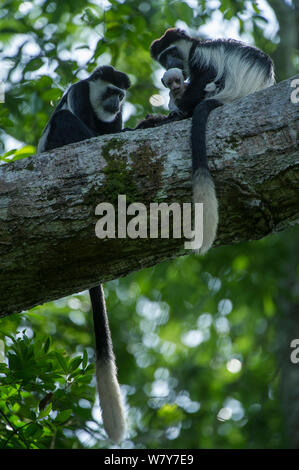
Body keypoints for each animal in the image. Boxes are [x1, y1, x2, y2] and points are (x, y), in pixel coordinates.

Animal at [151, 28, 276, 253]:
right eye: (164, 58)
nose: (171, 62)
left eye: (172, 51)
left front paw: (174, 110)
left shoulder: (200, 56)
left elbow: (204, 77)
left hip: (220, 88)